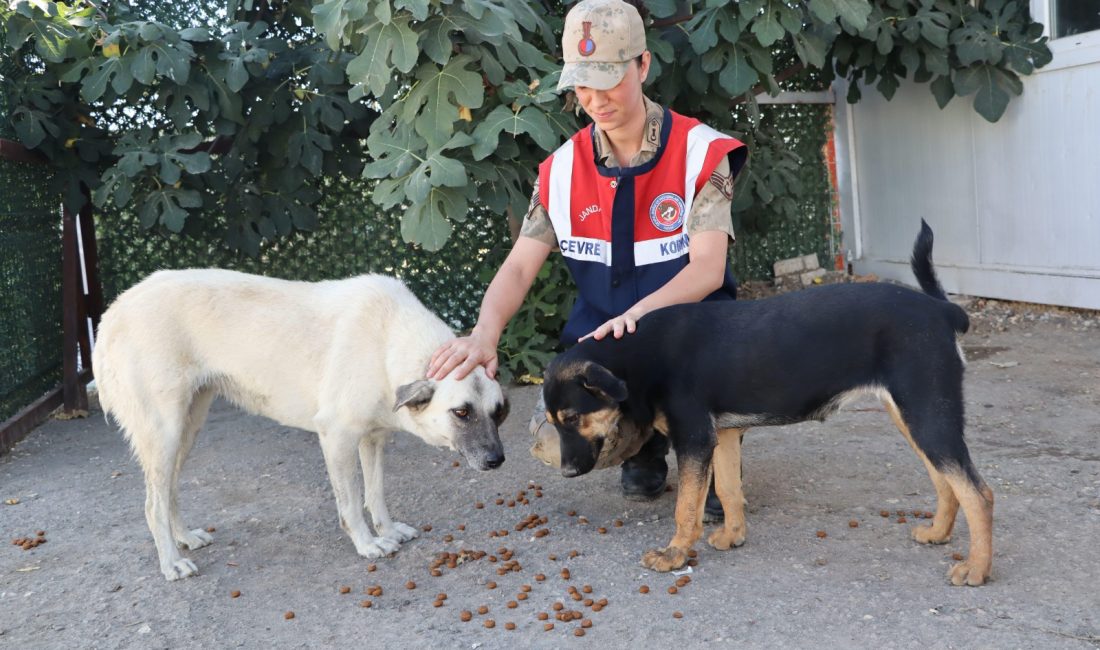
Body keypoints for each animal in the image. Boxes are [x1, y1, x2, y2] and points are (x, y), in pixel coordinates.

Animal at [94, 269, 506, 580]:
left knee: (170, 493)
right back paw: (172, 563)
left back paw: (184, 538)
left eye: (499, 411)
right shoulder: (337, 437)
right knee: (153, 505)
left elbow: (375, 495)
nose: (497, 461)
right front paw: (368, 543)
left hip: (187, 429)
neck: (388, 338)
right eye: (462, 412)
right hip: (164, 433)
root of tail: (115, 309)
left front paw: (388, 530)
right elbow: (352, 503)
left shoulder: (372, 439)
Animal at [543, 221, 998, 589]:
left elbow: (685, 507)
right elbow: (727, 490)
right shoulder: (722, 436)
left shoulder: (694, 439)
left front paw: (673, 554)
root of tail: (943, 310)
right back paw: (938, 534)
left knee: (979, 493)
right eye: (552, 420)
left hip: (928, 415)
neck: (637, 355)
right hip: (914, 417)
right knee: (947, 481)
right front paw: (733, 536)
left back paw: (976, 569)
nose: (565, 472)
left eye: (572, 417)